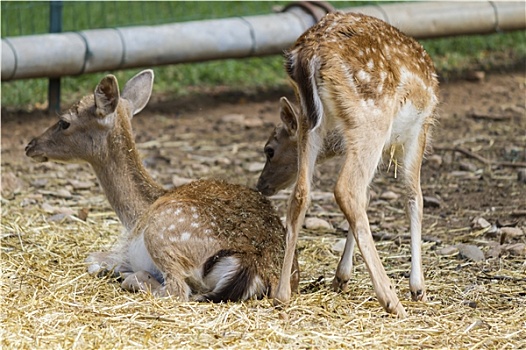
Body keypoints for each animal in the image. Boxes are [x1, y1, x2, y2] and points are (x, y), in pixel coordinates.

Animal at [25, 69, 302, 302]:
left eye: (64, 122)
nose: (30, 145)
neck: (135, 214)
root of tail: (252, 264)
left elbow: (92, 259)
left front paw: (111, 269)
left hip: (162, 233)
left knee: (177, 290)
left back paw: (129, 277)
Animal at [256, 12, 442, 318]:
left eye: (269, 150)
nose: (261, 185)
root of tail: (309, 55)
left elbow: (370, 198)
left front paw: (341, 277)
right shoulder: (419, 130)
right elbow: (414, 197)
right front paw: (419, 288)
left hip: (312, 124)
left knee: (301, 195)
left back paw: (282, 295)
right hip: (371, 118)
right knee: (347, 189)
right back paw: (391, 300)